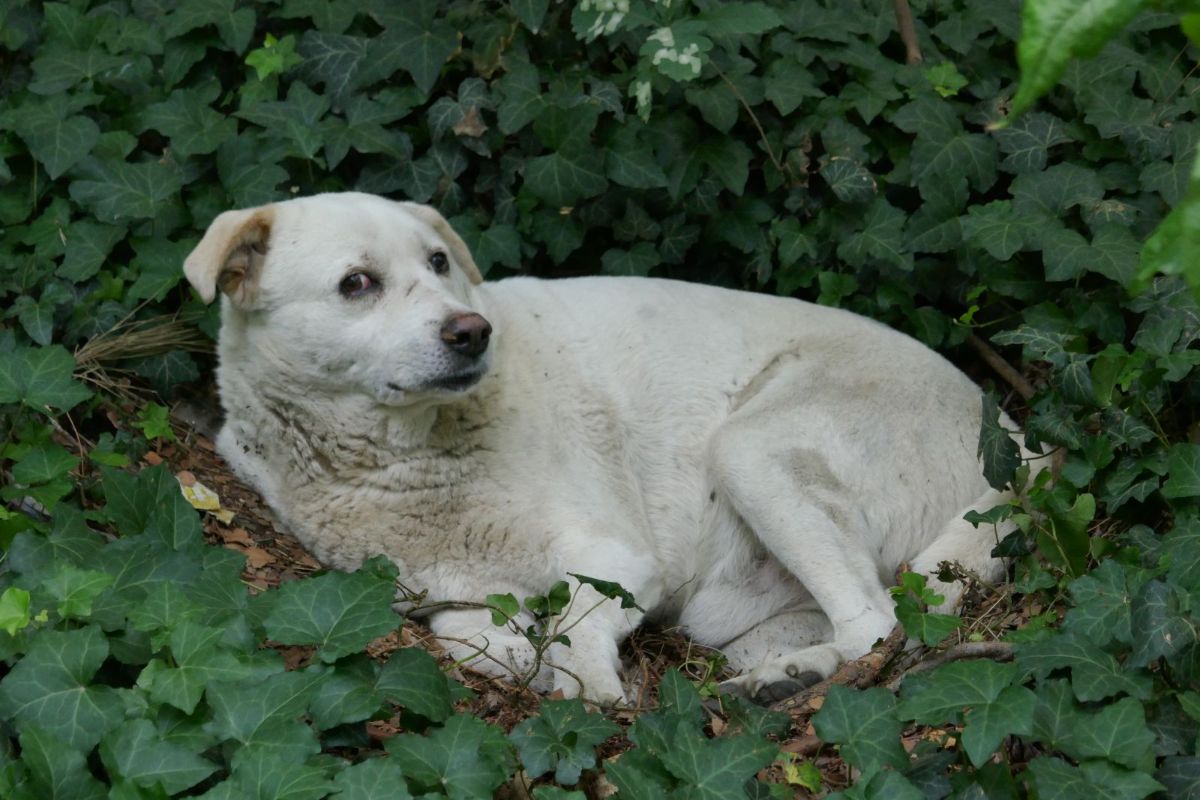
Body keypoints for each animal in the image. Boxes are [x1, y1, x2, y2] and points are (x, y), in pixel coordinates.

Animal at [184, 194, 1012, 705]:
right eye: (357, 283)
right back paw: (785, 675)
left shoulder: (617, 558)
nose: (472, 332)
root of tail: (1013, 436)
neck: (407, 455)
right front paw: (517, 653)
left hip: (754, 451)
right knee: (869, 624)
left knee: (877, 625)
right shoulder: (435, 587)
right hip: (725, 610)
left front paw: (588, 693)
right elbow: (478, 633)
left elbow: (577, 628)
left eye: (439, 263)